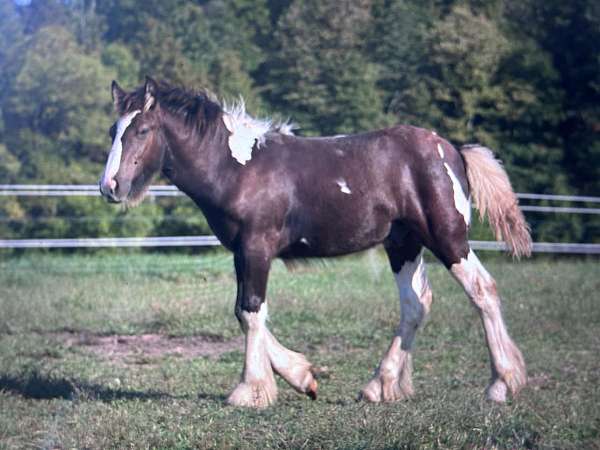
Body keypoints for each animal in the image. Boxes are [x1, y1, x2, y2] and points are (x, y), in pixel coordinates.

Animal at [101, 77, 532, 408]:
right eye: (112, 132)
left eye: (141, 130)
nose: (110, 187)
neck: (237, 168)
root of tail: (453, 149)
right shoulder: (242, 251)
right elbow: (245, 312)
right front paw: (302, 376)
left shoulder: (256, 247)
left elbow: (250, 311)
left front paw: (250, 391)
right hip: (403, 244)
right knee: (415, 305)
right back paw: (380, 385)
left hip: (446, 237)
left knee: (482, 290)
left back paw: (502, 384)